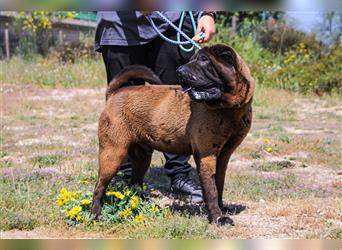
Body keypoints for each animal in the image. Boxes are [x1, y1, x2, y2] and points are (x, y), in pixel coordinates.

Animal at [92, 44, 255, 226]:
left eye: (204, 60)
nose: (180, 70)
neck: (230, 111)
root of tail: (114, 93)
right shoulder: (206, 156)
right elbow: (211, 190)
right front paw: (217, 217)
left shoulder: (223, 156)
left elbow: (219, 185)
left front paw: (222, 208)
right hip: (113, 154)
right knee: (99, 186)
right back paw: (95, 214)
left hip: (142, 156)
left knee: (135, 183)